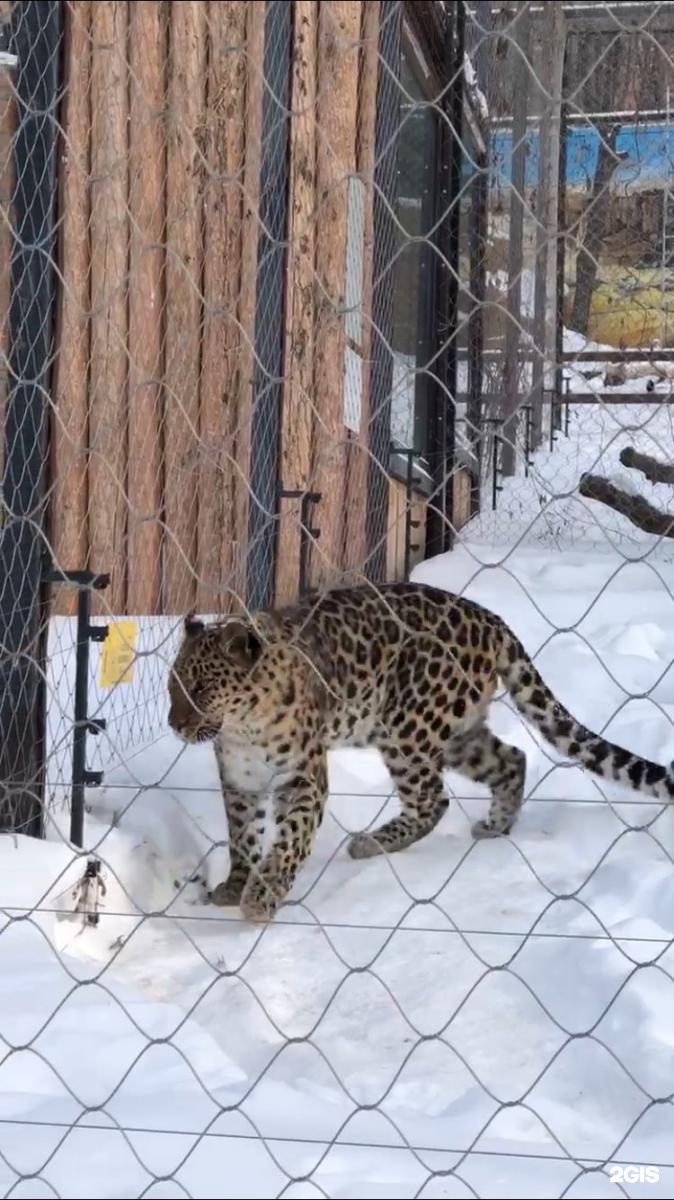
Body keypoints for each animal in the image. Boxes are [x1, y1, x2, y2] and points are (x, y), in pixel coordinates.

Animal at [166, 578, 671, 916]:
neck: (242, 727)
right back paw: (496, 826)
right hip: (457, 732)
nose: (174, 723)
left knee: (434, 798)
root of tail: (492, 620)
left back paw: (371, 842)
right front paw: (235, 886)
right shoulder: (240, 780)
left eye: (201, 689)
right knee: (512, 758)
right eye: (173, 686)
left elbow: (290, 839)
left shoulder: (303, 779)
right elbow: (242, 836)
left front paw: (262, 896)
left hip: (408, 727)